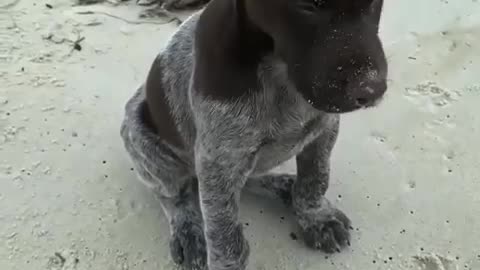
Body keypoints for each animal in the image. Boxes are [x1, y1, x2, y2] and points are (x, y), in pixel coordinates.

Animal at [119, 1, 386, 268]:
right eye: (306, 6)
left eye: (375, 3)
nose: (372, 91)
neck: (278, 72)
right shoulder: (220, 161)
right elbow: (225, 238)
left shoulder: (325, 128)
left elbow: (315, 178)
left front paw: (317, 216)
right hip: (141, 135)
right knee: (173, 196)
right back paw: (188, 232)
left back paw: (285, 185)